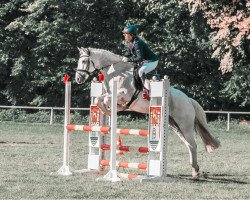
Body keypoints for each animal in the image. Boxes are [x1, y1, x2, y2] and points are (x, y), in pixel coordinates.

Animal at [75, 47, 220, 180]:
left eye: (84, 61)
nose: (78, 79)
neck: (117, 73)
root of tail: (188, 99)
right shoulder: (109, 95)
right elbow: (99, 100)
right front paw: (109, 111)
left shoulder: (123, 95)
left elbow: (106, 99)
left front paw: (111, 109)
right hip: (175, 125)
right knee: (189, 145)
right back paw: (195, 170)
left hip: (185, 125)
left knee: (193, 145)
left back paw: (195, 173)